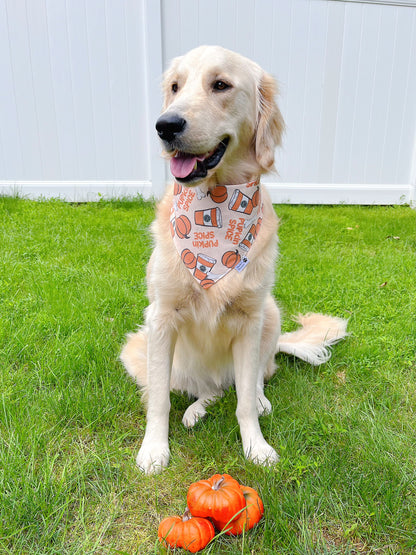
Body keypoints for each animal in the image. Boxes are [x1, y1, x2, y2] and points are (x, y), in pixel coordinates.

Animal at [121, 45, 348, 476]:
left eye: (221, 85)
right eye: (175, 87)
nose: (165, 125)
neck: (217, 202)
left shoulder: (249, 320)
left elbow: (244, 403)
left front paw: (256, 446)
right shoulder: (160, 318)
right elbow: (158, 400)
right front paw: (154, 449)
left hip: (270, 314)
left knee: (252, 380)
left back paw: (254, 399)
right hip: (149, 351)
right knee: (205, 389)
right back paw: (195, 409)